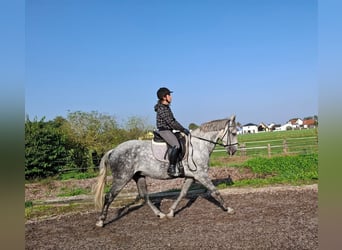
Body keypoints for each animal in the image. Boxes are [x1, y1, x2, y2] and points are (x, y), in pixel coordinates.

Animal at [93, 114, 238, 227]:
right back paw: (100, 221)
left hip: (138, 176)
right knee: (109, 196)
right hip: (122, 177)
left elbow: (182, 193)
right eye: (234, 133)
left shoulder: (191, 176)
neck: (198, 145)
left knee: (144, 196)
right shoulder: (201, 175)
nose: (233, 151)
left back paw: (160, 214)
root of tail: (114, 150)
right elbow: (215, 191)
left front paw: (171, 212)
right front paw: (229, 209)